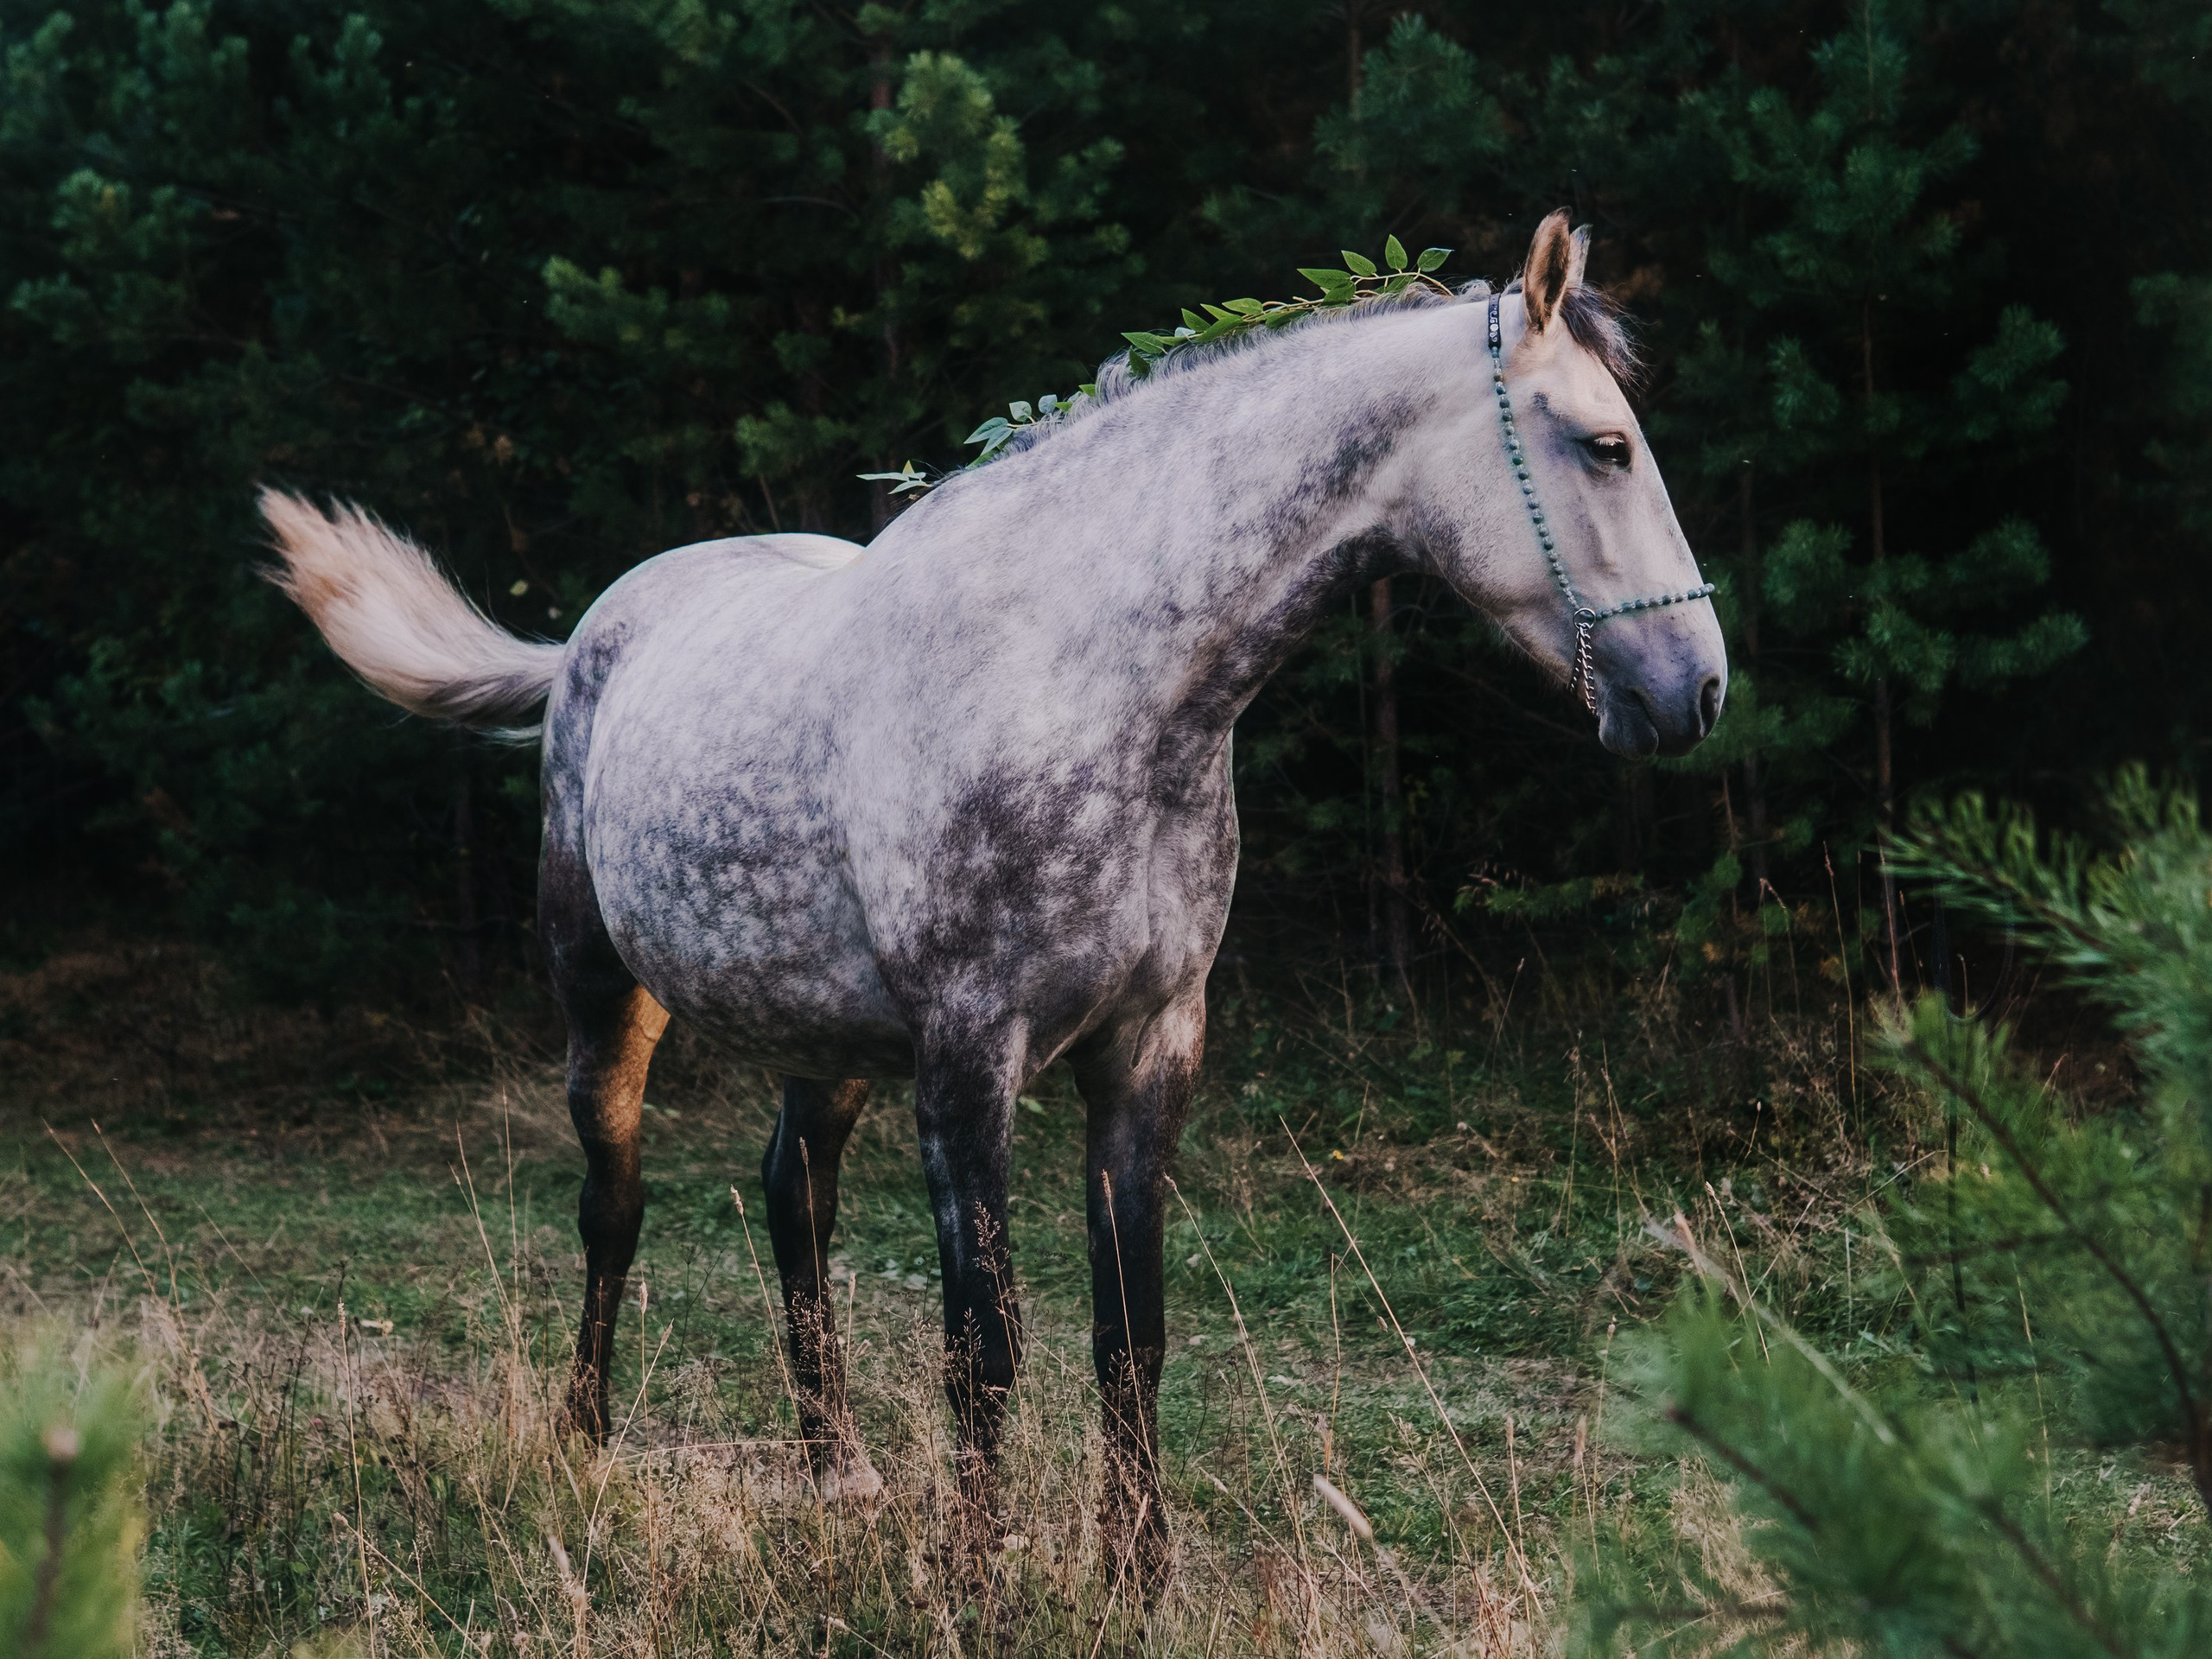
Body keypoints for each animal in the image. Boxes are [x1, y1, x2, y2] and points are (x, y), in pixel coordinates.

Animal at [261, 209, 1725, 1562]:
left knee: (794, 1199)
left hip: (825, 1039)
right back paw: (583, 1448)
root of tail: (586, 641)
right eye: (1606, 447)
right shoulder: (972, 1055)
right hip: (603, 998)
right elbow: (988, 1340)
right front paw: (979, 1572)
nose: (1697, 692)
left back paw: (838, 1473)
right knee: (612, 1211)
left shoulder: (1150, 1044)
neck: (1091, 679)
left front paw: (1137, 1573)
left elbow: (1130, 1333)